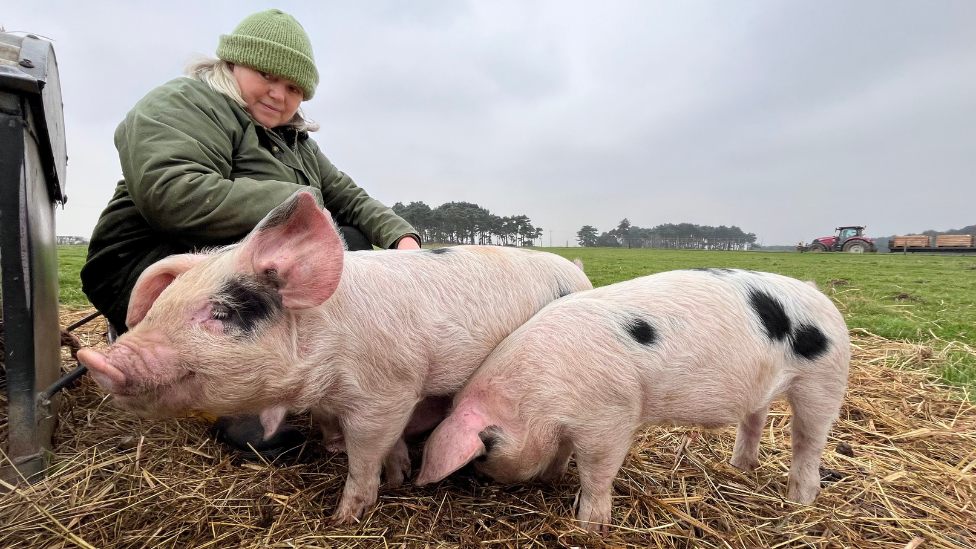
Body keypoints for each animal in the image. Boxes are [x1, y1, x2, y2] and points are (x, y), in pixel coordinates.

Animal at [74, 191, 588, 520]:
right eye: (161, 306)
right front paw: (395, 476)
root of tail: (574, 268)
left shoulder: (386, 393)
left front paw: (344, 517)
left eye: (221, 313)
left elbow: (365, 456)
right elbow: (380, 443)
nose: (100, 361)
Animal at [416, 268, 852, 532]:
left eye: (483, 455)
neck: (532, 398)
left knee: (809, 442)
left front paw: (590, 528)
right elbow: (563, 452)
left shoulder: (610, 418)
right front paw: (551, 478)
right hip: (766, 390)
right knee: (755, 419)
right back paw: (740, 468)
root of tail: (818, 295)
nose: (483, 480)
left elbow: (596, 472)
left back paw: (798, 503)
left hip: (824, 380)